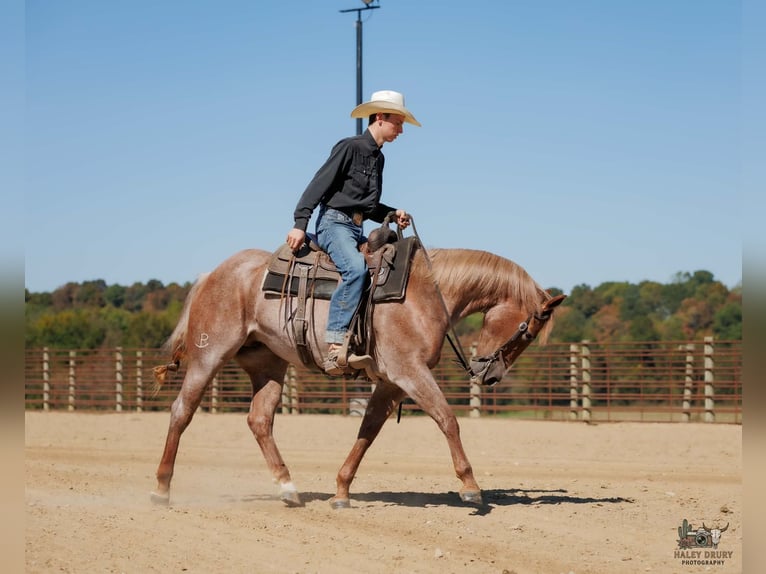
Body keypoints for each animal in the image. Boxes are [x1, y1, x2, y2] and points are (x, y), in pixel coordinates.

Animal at [150, 241, 564, 509]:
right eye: (527, 331)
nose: (488, 376)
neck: (425, 293)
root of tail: (212, 274)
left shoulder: (391, 383)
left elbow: (368, 432)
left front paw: (341, 491)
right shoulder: (410, 373)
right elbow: (447, 419)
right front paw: (470, 486)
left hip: (267, 365)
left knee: (259, 420)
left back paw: (287, 487)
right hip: (209, 355)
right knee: (182, 411)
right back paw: (161, 489)